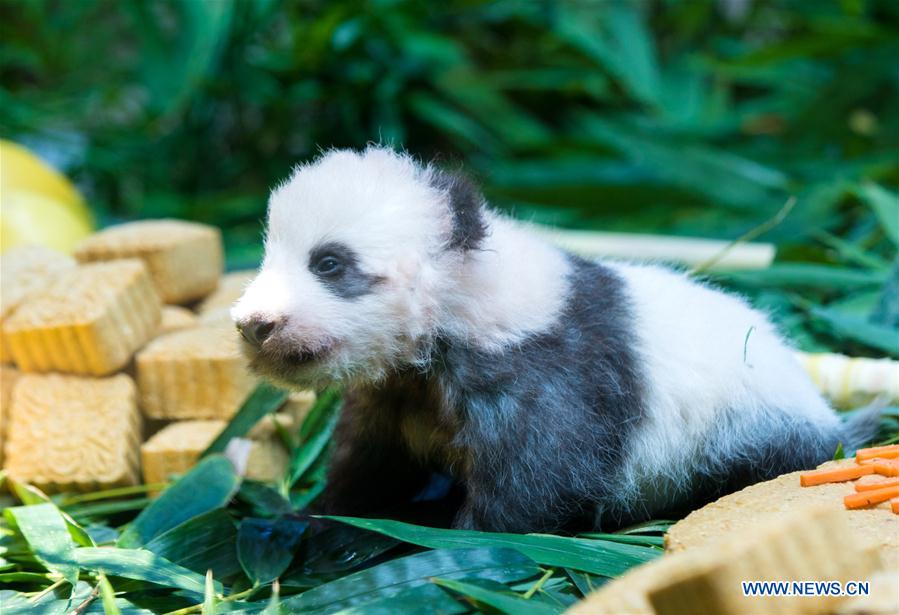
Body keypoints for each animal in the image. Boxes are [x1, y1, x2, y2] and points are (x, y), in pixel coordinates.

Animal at [232, 146, 878, 533]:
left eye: (329, 263)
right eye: (267, 254)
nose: (254, 324)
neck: (458, 306)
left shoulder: (547, 373)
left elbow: (535, 487)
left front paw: (457, 542)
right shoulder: (395, 391)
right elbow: (370, 460)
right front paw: (320, 515)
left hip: (746, 428)